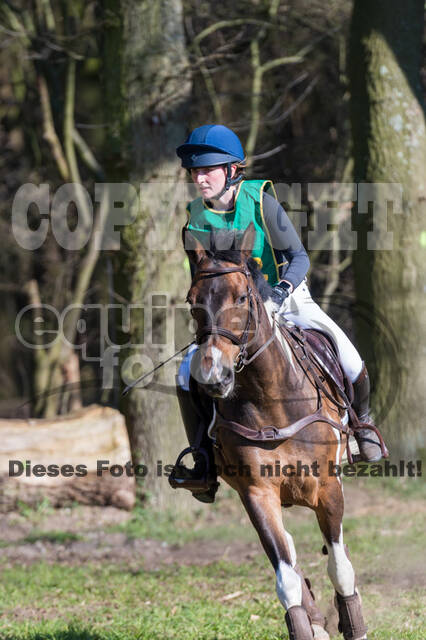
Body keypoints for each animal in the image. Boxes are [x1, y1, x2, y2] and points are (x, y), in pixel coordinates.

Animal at [183, 224, 370, 640]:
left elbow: (341, 568)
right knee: (291, 556)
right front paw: (307, 623)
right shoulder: (257, 493)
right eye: (192, 302)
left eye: (241, 297)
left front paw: (354, 624)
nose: (213, 376)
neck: (272, 399)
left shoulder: (328, 487)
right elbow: (286, 577)